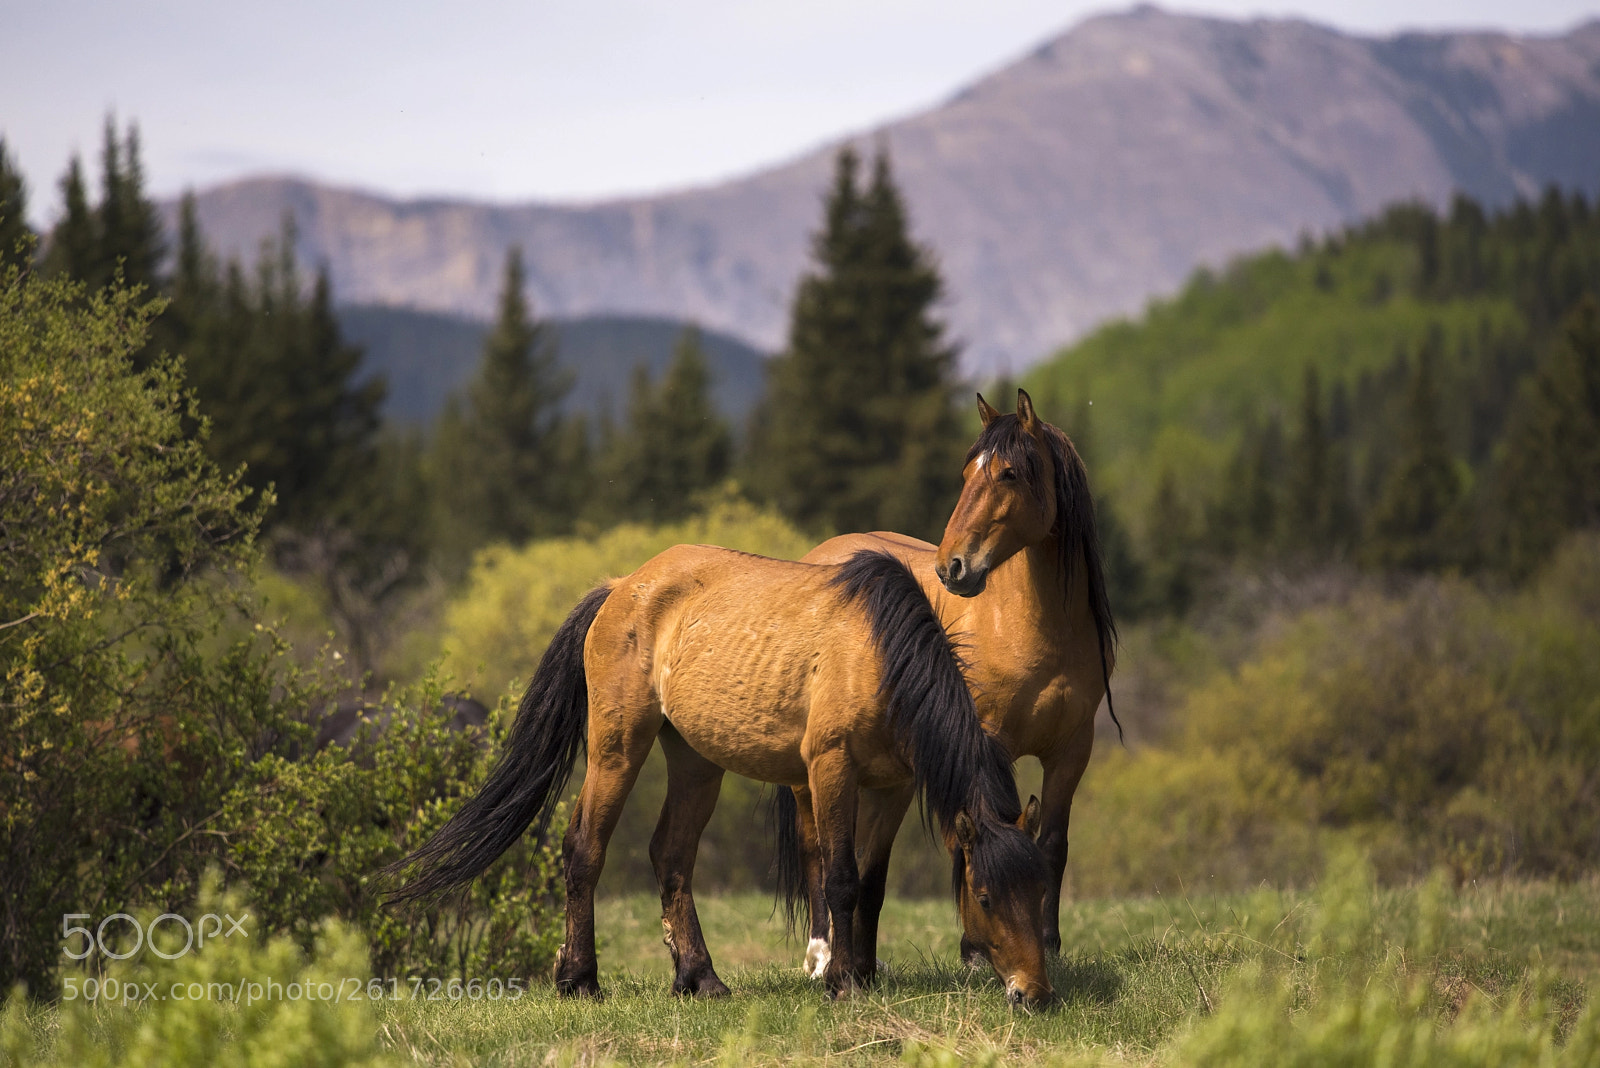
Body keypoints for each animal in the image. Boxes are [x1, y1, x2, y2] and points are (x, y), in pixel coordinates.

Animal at [387, 546, 1054, 1005]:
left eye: (1038, 892)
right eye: (986, 896)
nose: (1034, 993)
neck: (880, 654)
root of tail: (620, 588)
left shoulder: (893, 786)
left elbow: (870, 881)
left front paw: (861, 973)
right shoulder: (830, 768)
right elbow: (838, 877)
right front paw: (841, 982)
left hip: (696, 761)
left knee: (671, 855)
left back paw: (699, 976)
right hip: (617, 748)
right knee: (584, 847)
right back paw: (580, 978)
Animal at [778, 388, 1116, 971]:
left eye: (1008, 473)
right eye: (966, 473)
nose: (951, 568)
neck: (1031, 627)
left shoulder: (1073, 749)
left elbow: (1052, 845)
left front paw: (1049, 943)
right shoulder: (985, 739)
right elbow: (968, 837)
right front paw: (974, 950)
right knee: (815, 846)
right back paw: (821, 953)